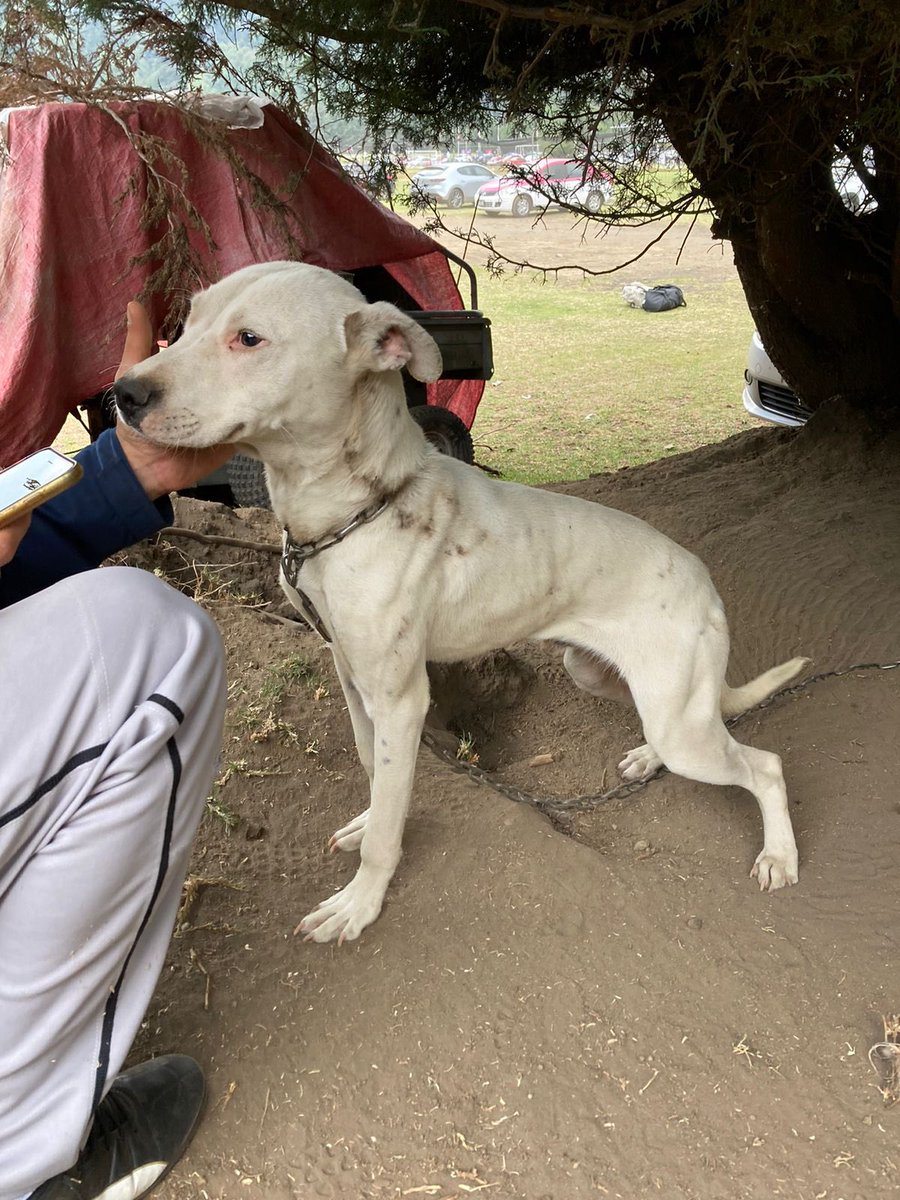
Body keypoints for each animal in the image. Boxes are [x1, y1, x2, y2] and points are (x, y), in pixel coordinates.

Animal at [112, 262, 811, 945]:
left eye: (249, 339)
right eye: (188, 322)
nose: (124, 394)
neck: (354, 511)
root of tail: (702, 577)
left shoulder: (400, 700)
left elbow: (388, 827)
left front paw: (360, 903)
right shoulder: (351, 674)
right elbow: (372, 769)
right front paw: (369, 820)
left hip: (679, 718)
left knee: (765, 766)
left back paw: (778, 854)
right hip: (605, 676)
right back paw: (647, 758)